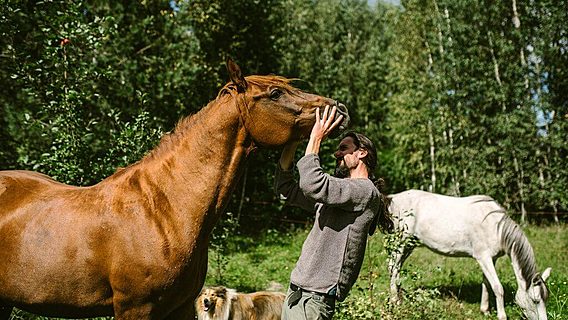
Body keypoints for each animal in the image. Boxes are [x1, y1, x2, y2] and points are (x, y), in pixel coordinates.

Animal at [388, 190, 552, 320]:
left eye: (546, 298)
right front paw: (502, 316)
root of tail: (393, 197)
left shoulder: (491, 259)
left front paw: (485, 311)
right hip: (400, 243)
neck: (495, 226)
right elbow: (497, 287)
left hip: (409, 245)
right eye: (535, 300)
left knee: (397, 268)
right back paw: (395, 300)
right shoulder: (483, 258)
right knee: (393, 268)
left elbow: (487, 284)